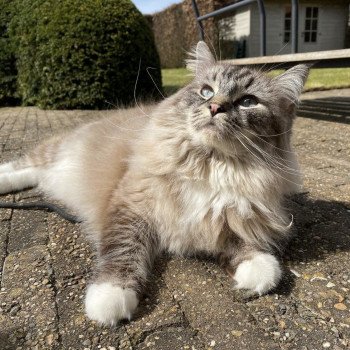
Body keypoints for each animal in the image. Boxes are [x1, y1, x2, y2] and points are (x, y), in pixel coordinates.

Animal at [0, 41, 308, 326]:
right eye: (206, 91)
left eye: (247, 101)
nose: (214, 107)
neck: (209, 166)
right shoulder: (130, 205)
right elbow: (122, 250)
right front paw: (110, 295)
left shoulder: (225, 213)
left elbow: (240, 240)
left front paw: (259, 268)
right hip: (54, 153)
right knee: (22, 165)